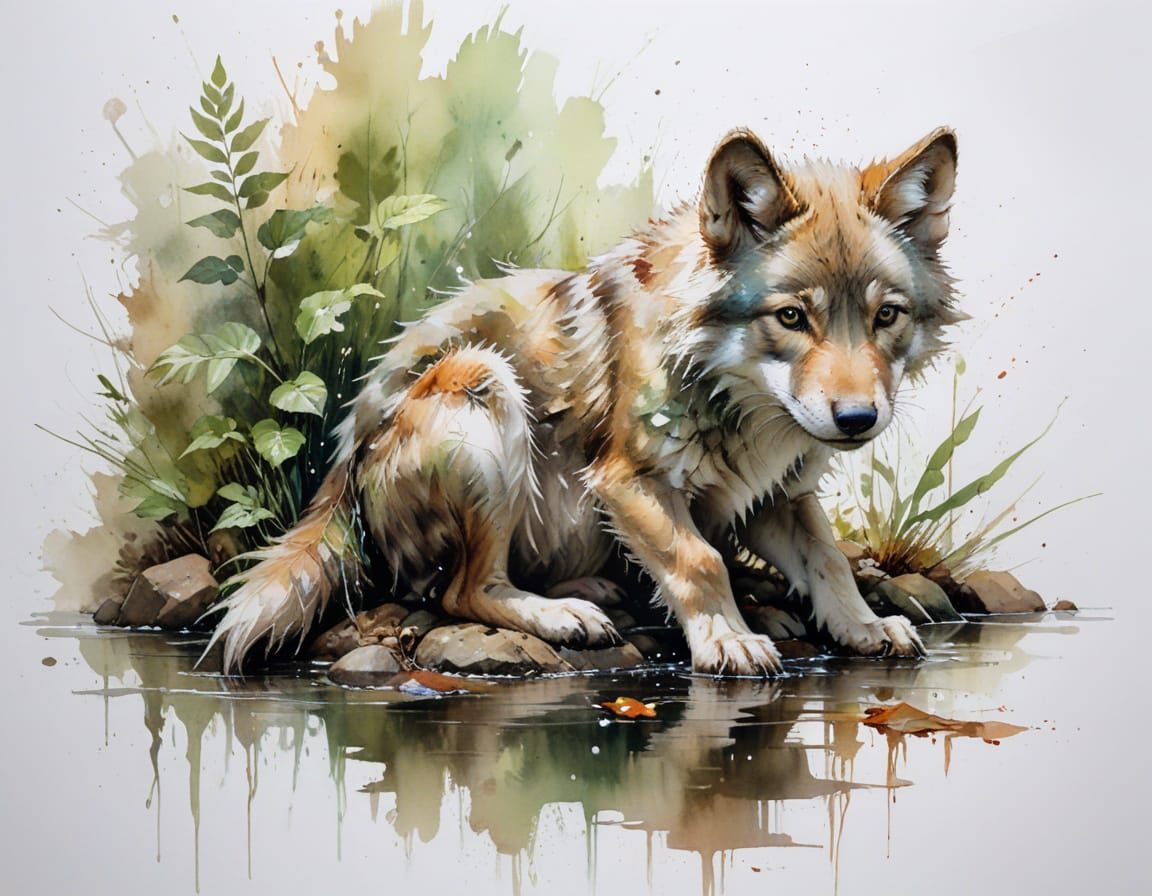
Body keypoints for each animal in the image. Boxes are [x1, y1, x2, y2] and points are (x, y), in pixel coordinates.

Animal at [208, 126, 961, 676]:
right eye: (792, 318)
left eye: (886, 317)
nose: (858, 419)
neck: (738, 402)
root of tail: (344, 459)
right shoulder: (627, 481)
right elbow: (699, 560)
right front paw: (728, 640)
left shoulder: (779, 495)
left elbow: (829, 560)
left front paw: (863, 626)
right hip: (483, 387)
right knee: (458, 591)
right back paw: (563, 614)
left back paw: (598, 590)